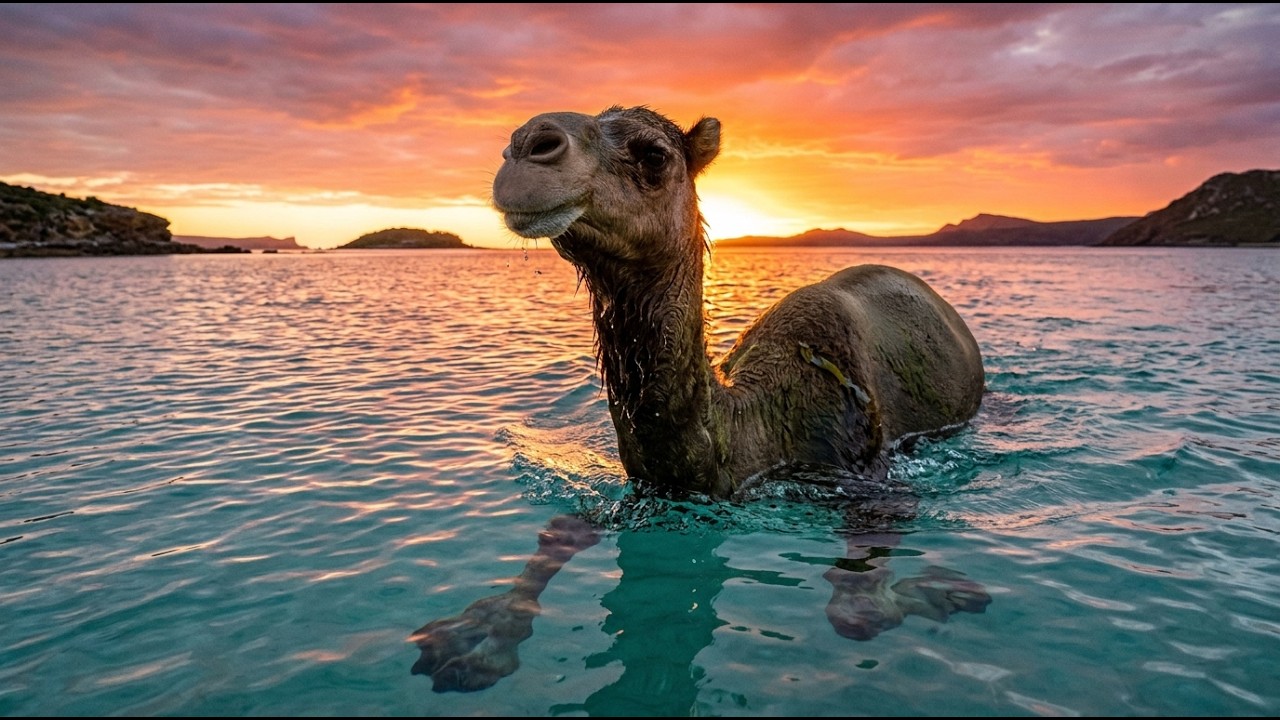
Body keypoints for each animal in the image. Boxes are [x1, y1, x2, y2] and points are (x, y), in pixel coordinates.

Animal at [410, 106, 989, 693]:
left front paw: (949, 591)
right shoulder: (639, 492)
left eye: (654, 154)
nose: (528, 144)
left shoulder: (868, 480)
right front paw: (475, 640)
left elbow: (858, 615)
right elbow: (563, 527)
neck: (757, 434)